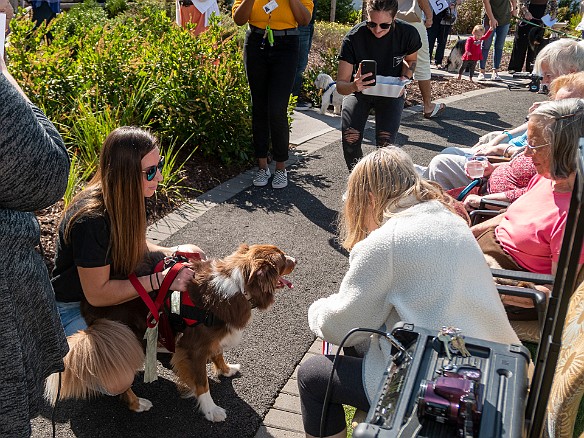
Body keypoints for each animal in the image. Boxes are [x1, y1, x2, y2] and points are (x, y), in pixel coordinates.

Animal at [44, 245, 296, 422]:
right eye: (283, 260)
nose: (296, 260)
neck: (239, 285)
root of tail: (86, 302)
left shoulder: (212, 337)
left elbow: (218, 353)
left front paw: (225, 370)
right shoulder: (194, 346)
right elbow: (202, 383)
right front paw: (211, 410)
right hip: (121, 335)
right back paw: (137, 403)